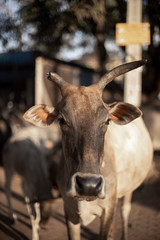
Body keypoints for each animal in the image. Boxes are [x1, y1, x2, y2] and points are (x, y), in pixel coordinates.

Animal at [23, 60, 152, 240]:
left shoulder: (108, 210)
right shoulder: (70, 211)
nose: (88, 185)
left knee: (125, 211)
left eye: (107, 121)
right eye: (62, 120)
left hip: (128, 191)